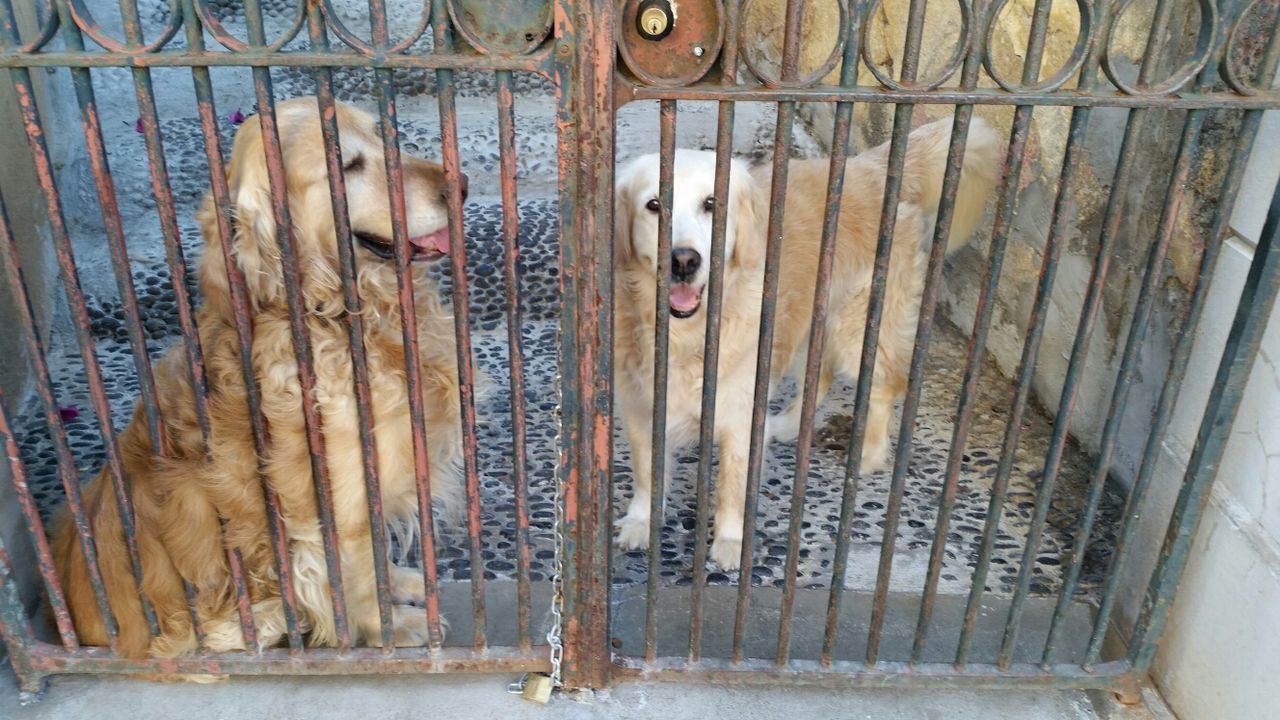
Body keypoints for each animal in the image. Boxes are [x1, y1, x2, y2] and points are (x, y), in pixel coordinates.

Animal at [55, 98, 473, 661]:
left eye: (383, 136)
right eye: (346, 166)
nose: (461, 184)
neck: (336, 316)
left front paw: (400, 585)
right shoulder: (337, 500)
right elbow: (353, 574)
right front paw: (388, 627)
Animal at [614, 116, 1003, 566]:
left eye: (712, 204)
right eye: (654, 205)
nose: (683, 261)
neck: (686, 336)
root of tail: (870, 166)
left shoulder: (739, 416)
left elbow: (732, 486)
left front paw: (729, 541)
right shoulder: (640, 409)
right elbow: (646, 472)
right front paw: (641, 521)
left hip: (858, 325)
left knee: (885, 386)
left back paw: (868, 455)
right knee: (821, 376)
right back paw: (783, 424)